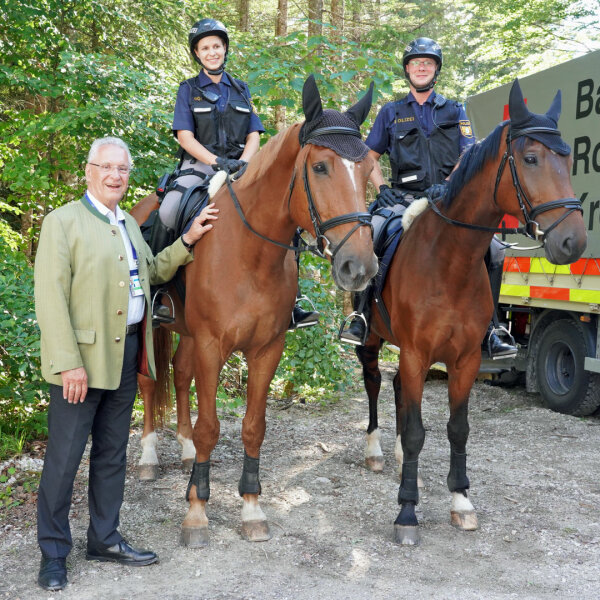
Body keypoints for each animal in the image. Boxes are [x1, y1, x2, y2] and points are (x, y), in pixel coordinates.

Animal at [132, 77, 378, 548]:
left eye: (369, 167)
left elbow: (253, 426)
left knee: (180, 373)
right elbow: (211, 426)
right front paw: (196, 512)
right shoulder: (212, 346)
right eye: (320, 167)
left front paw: (250, 508)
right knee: (150, 381)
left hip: (187, 332)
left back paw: (185, 448)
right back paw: (150, 457)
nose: (359, 267)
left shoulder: (267, 349)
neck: (251, 254)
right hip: (148, 329)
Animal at [356, 78, 584, 544]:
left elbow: (456, 428)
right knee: (373, 382)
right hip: (372, 339)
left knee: (397, 390)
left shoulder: (464, 360)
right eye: (530, 158)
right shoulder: (416, 353)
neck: (449, 261)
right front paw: (407, 512)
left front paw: (460, 500)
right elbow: (415, 431)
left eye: (568, 158)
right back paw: (374, 450)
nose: (573, 241)